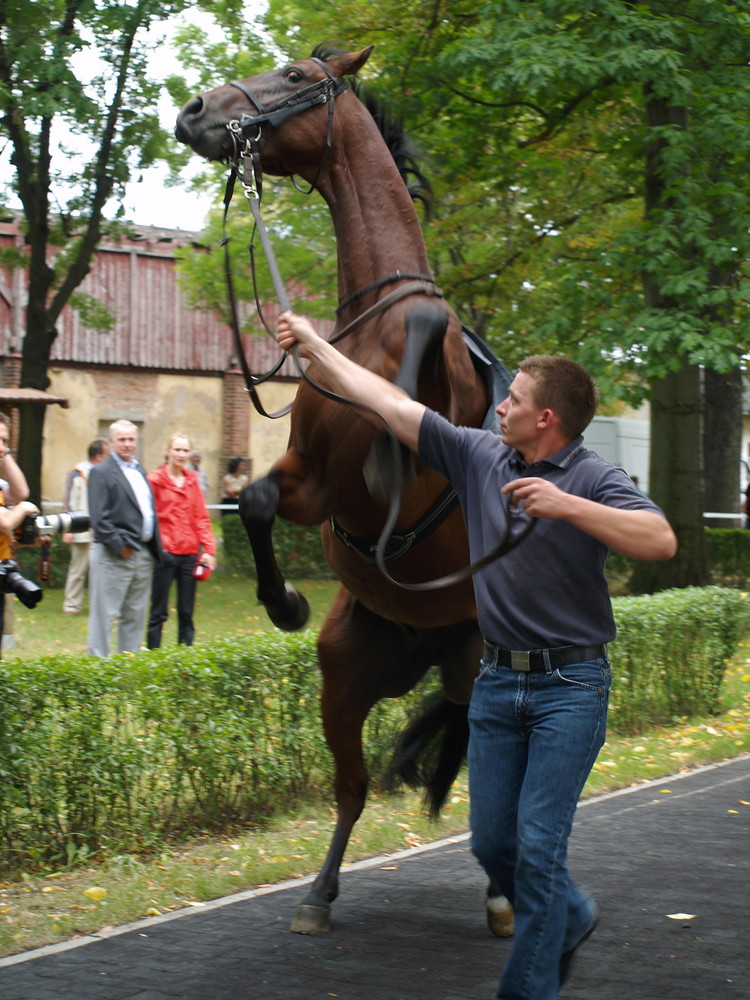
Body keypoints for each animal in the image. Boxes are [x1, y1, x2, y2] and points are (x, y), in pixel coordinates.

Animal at [178, 45, 516, 936]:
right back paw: (319, 895)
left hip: (478, 666)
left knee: (473, 747)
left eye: (296, 77)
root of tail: (425, 643)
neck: (371, 329)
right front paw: (284, 602)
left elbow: (426, 354)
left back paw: (500, 887)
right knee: (355, 785)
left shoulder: (443, 425)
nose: (194, 112)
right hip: (349, 676)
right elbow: (258, 503)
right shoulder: (311, 482)